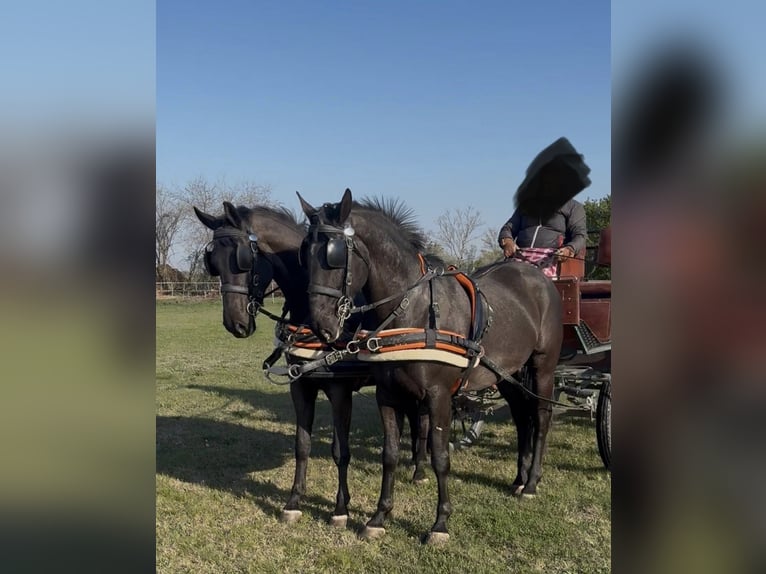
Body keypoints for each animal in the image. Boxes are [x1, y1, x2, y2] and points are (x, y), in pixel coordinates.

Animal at [193, 201, 428, 528]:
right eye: (213, 261)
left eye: (243, 260)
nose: (235, 324)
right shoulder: (301, 386)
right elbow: (301, 445)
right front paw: (294, 501)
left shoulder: (340, 391)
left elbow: (340, 450)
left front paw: (340, 508)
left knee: (423, 421)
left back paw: (420, 470)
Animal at [298, 189, 563, 543]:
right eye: (305, 253)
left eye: (335, 254)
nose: (320, 325)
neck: (415, 310)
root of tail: (537, 277)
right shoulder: (388, 395)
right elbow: (390, 454)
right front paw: (379, 517)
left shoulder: (438, 397)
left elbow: (439, 456)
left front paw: (440, 523)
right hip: (508, 373)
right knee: (522, 418)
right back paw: (519, 479)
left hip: (542, 367)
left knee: (542, 418)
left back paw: (532, 482)